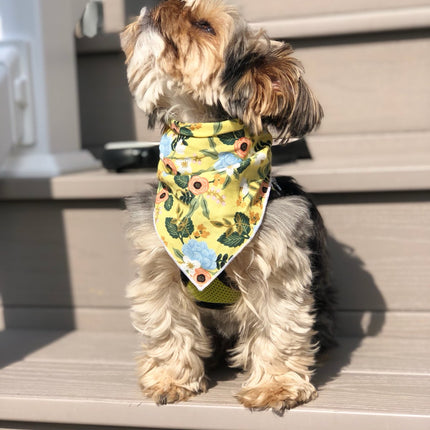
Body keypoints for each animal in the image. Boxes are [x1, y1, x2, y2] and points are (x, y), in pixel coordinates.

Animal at [121, 0, 336, 410]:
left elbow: (279, 328)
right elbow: (168, 325)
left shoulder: (277, 271)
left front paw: (276, 387)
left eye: (204, 25)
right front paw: (171, 380)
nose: (155, 5)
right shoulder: (159, 269)